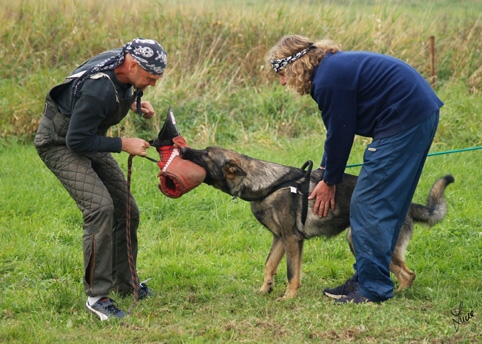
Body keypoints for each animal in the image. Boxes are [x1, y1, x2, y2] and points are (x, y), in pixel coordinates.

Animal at [180, 146, 452, 300]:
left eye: (205, 154)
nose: (182, 150)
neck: (266, 184)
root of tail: (407, 205)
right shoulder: (280, 239)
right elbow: (269, 266)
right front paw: (264, 290)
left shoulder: (292, 240)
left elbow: (291, 273)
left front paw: (288, 298)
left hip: (359, 239)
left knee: (408, 274)